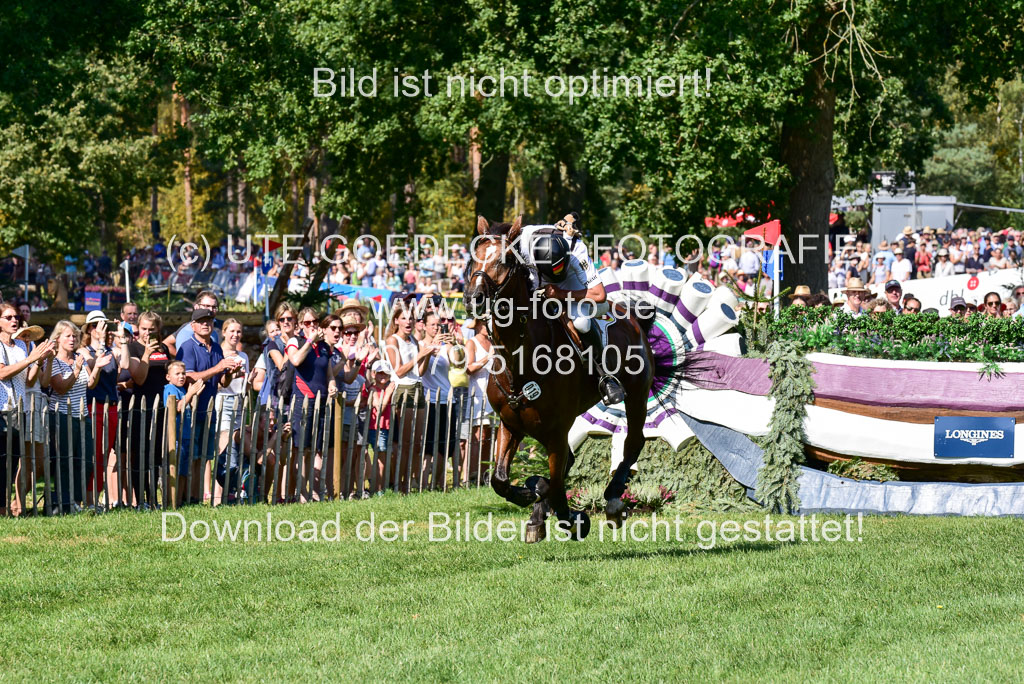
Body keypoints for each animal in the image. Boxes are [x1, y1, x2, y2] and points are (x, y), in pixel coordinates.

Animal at [464, 216, 655, 540]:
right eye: (472, 257)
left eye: (504, 260)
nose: (473, 298)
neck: (520, 360)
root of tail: (633, 317)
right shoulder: (510, 424)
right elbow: (500, 479)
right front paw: (529, 496)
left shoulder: (555, 433)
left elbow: (554, 486)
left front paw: (573, 519)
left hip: (637, 394)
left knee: (634, 441)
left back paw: (613, 497)